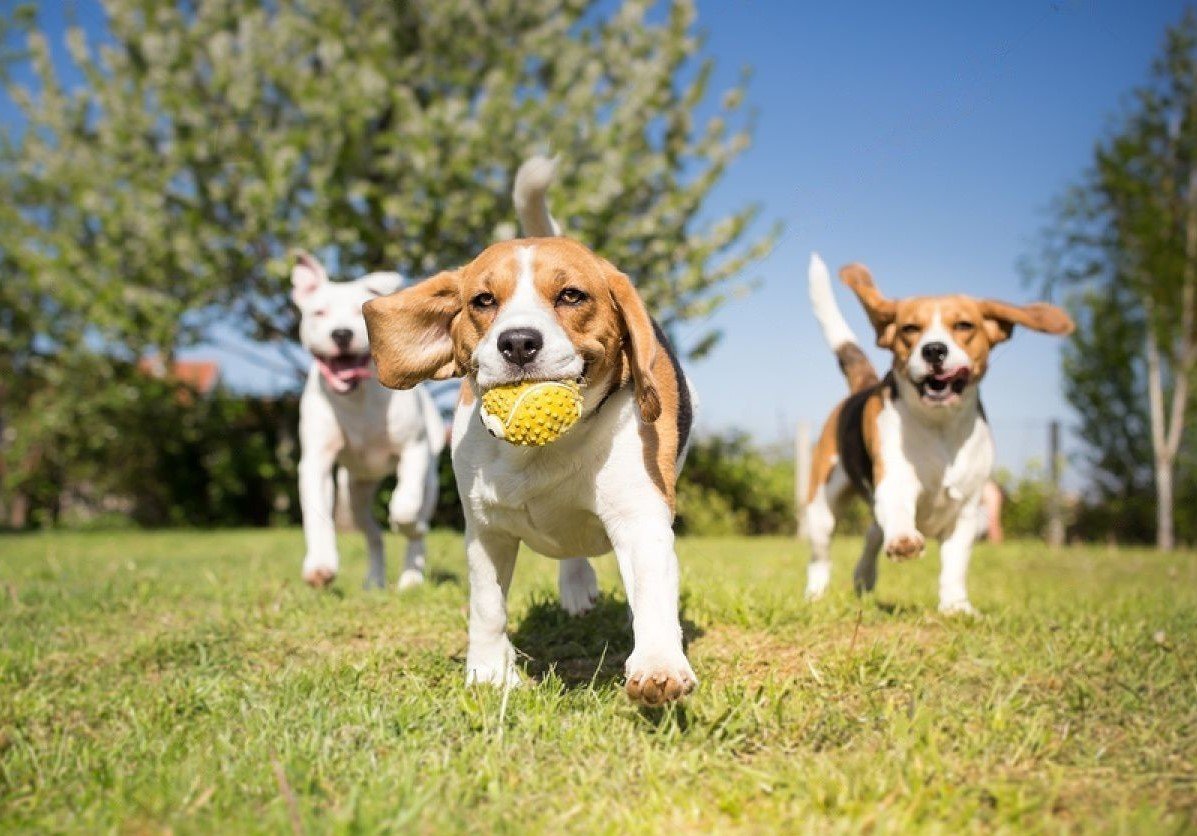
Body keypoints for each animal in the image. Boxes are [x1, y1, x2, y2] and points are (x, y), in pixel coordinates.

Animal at [289, 252, 445, 586]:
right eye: (319, 312)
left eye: (358, 313)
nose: (341, 333)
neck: (356, 397)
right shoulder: (316, 461)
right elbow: (317, 515)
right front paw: (320, 565)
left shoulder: (413, 450)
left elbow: (404, 507)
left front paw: (408, 524)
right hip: (354, 493)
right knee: (372, 533)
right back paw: (374, 580)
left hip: (430, 480)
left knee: (415, 522)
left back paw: (411, 577)